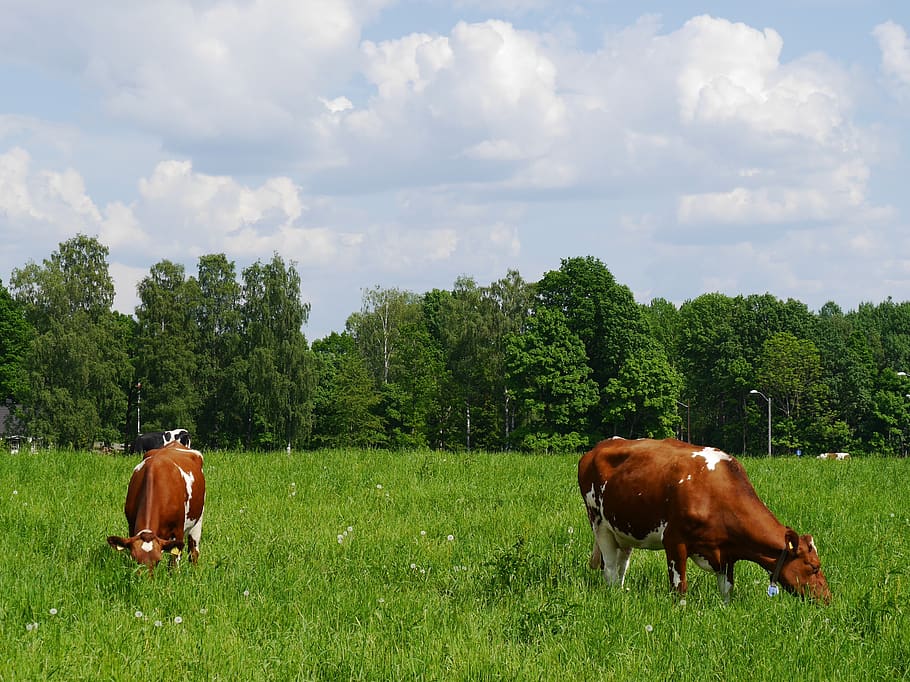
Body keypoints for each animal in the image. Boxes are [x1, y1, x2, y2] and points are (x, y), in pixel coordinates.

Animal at [107, 442, 205, 572]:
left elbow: (174, 562)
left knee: (193, 551)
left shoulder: (178, 529)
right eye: (135, 560)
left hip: (198, 519)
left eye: (158, 561)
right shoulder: (131, 526)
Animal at [578, 437, 831, 604]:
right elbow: (679, 588)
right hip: (599, 523)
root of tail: (597, 447)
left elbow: (727, 591)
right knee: (610, 567)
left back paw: (621, 592)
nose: (828, 598)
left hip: (624, 529)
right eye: (814, 567)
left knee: (622, 565)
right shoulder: (674, 542)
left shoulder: (726, 554)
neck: (717, 494)